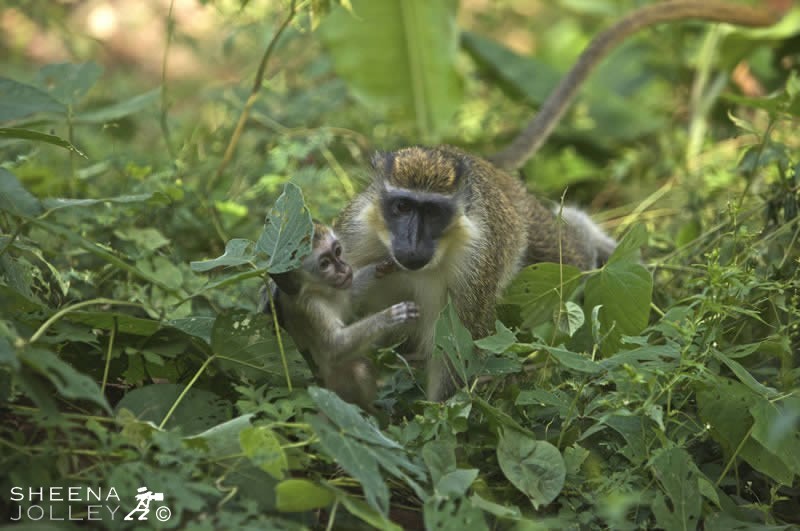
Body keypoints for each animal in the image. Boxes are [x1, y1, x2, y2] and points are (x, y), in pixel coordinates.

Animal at [261, 222, 419, 412]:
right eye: (325, 264)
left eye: (337, 251)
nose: (343, 268)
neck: (317, 290)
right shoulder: (312, 307)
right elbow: (335, 347)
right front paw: (390, 316)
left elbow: (352, 295)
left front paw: (383, 267)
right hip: (336, 391)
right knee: (358, 367)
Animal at [334, 2, 782, 401]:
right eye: (402, 208)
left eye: (432, 212)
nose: (411, 243)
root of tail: (480, 162)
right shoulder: (355, 237)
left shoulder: (473, 268)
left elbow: (457, 354)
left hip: (533, 232)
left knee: (573, 260)